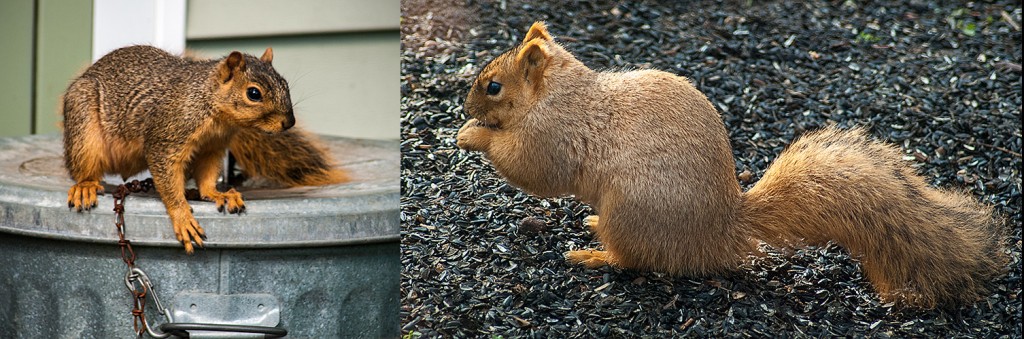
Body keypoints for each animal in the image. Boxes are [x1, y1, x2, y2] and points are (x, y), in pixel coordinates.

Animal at [66, 45, 352, 253]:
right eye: (254, 93)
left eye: (285, 85)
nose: (289, 122)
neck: (210, 104)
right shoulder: (167, 137)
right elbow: (167, 177)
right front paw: (182, 215)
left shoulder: (212, 147)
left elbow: (207, 175)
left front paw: (218, 194)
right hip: (83, 128)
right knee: (82, 167)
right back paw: (86, 186)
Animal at [458, 20, 1007, 307]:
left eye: (493, 86)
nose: (464, 106)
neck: (559, 93)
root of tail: (721, 230)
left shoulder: (554, 136)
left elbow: (531, 169)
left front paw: (471, 135)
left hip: (633, 210)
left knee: (636, 260)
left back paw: (594, 255)